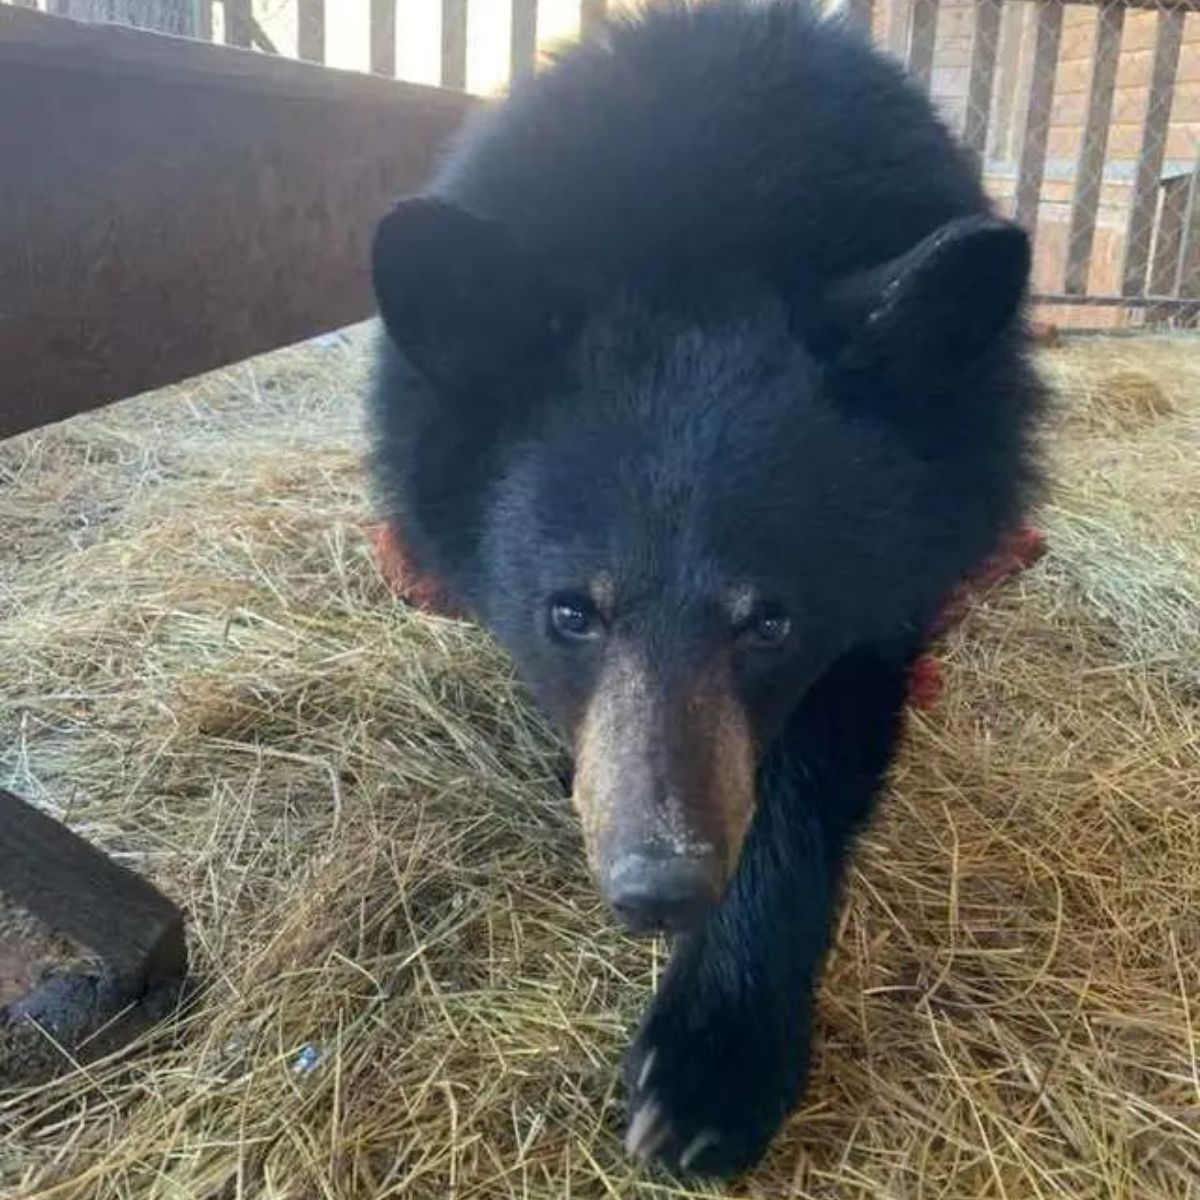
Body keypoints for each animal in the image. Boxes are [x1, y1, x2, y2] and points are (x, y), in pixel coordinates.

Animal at [369, 0, 1046, 1180]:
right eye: (571, 612)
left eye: (771, 620)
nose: (660, 888)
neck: (706, 229)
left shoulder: (900, 565)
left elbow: (826, 750)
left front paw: (711, 1060)